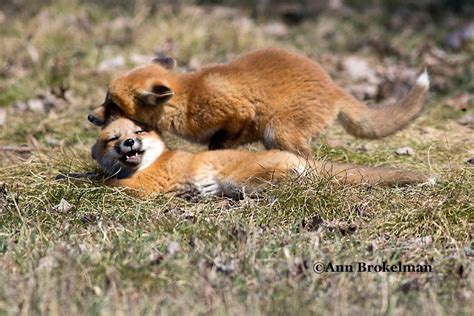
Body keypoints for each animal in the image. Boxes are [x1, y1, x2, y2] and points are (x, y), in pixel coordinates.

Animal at [88, 47, 430, 157]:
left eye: (113, 104)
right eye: (106, 99)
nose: (90, 117)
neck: (189, 99)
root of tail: (334, 86)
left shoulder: (238, 110)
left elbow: (218, 143)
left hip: (278, 131)